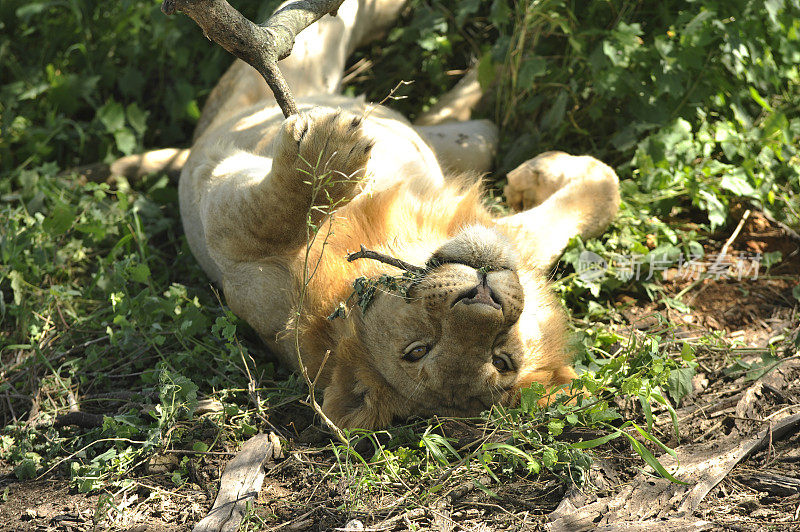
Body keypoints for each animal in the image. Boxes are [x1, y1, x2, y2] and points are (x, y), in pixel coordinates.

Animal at [170, 0, 620, 428]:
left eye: (501, 359)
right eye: (418, 350)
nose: (483, 297)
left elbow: (603, 191)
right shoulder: (235, 238)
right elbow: (273, 217)